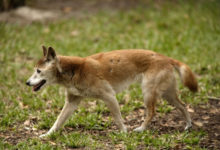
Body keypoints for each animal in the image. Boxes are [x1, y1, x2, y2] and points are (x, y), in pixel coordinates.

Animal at [25, 46, 198, 138]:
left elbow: (118, 119)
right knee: (183, 106)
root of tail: (167, 58)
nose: (27, 83)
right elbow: (58, 122)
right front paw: (47, 135)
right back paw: (188, 125)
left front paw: (124, 133)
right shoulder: (71, 102)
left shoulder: (109, 96)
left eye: (38, 71)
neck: (74, 71)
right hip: (167, 94)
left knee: (152, 112)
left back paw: (141, 129)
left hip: (149, 92)